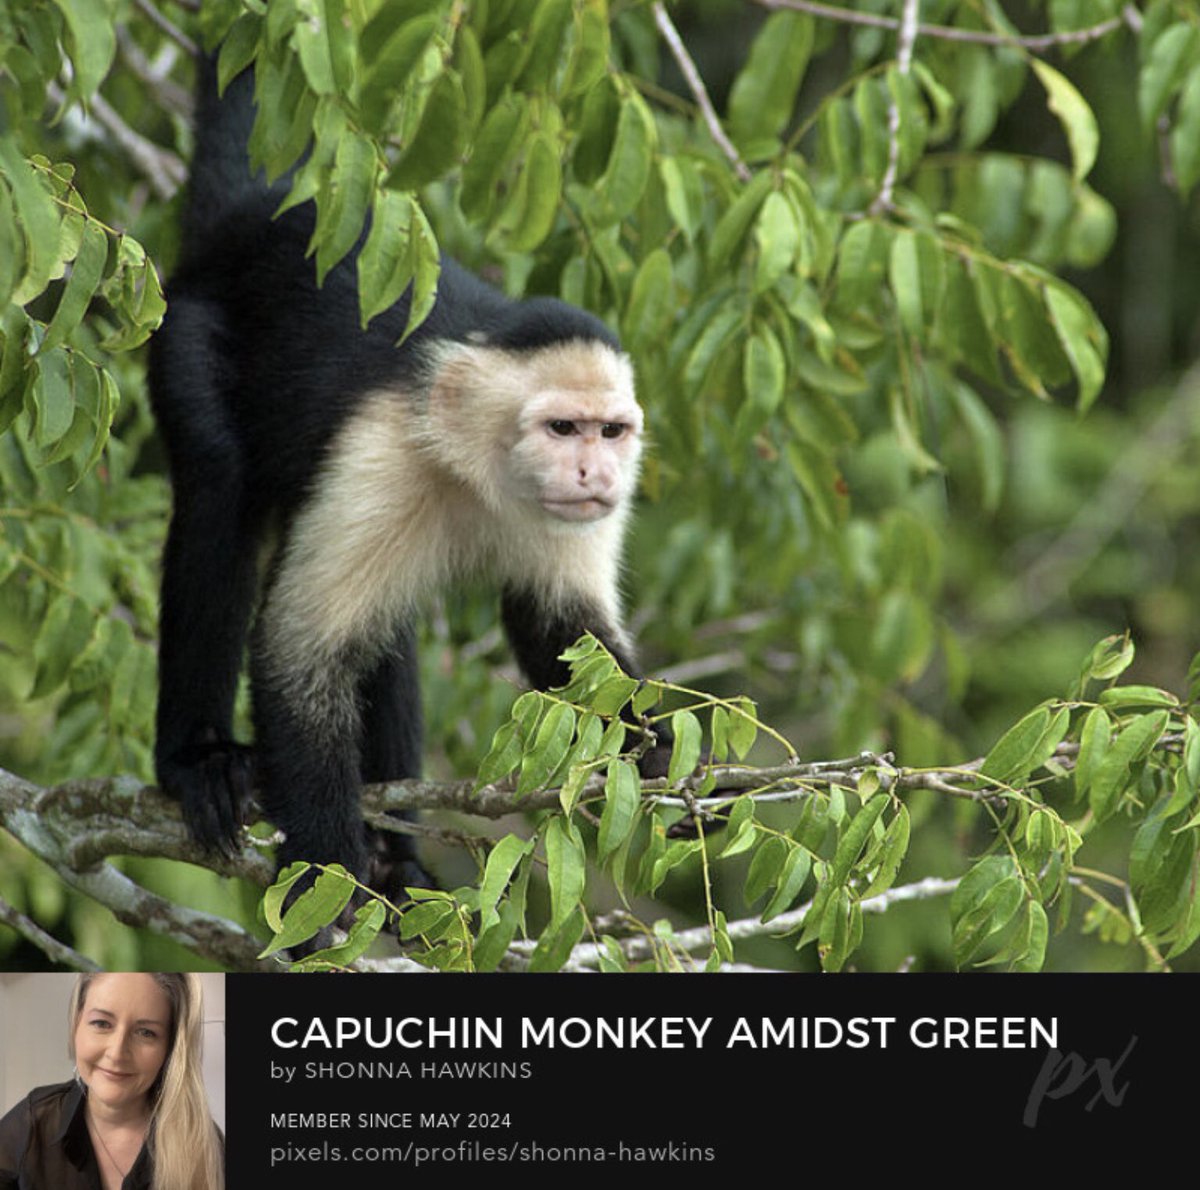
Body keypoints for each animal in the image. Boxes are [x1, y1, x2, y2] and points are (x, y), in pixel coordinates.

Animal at [148, 62, 656, 899]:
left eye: (610, 432)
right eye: (562, 429)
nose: (596, 470)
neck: (473, 466)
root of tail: (255, 215)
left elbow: (562, 629)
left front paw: (667, 763)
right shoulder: (381, 452)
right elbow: (299, 650)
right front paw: (324, 868)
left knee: (387, 625)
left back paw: (396, 851)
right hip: (184, 329)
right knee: (220, 492)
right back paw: (199, 760)